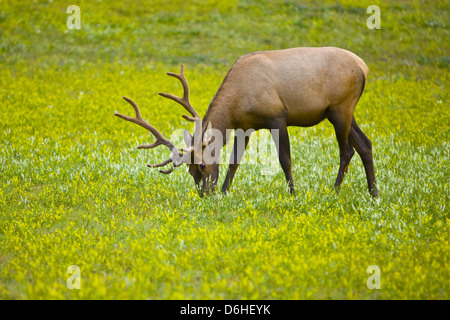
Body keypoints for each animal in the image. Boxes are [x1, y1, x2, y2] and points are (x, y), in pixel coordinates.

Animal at [115, 47, 376, 198]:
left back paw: (334, 191)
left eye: (201, 165)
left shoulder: (278, 117)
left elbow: (285, 159)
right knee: (365, 144)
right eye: (189, 170)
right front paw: (224, 192)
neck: (237, 104)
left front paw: (293, 194)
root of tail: (364, 67)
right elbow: (234, 162)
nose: (204, 194)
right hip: (342, 112)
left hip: (340, 108)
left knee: (347, 150)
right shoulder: (245, 126)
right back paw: (374, 193)